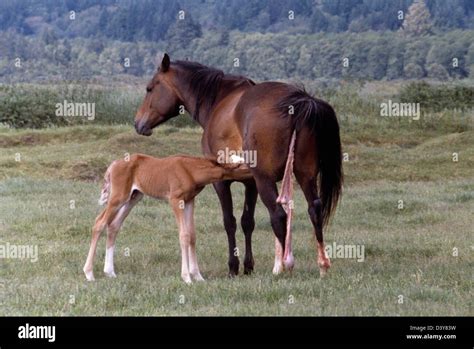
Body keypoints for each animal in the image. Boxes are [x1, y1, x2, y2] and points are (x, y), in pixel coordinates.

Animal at [83, 153, 250, 282]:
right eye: (242, 165)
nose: (253, 172)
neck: (191, 171)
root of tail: (113, 165)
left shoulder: (190, 201)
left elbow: (192, 235)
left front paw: (198, 276)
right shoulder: (175, 200)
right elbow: (184, 235)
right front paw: (187, 277)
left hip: (133, 197)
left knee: (113, 225)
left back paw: (110, 272)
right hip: (118, 197)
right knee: (99, 223)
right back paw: (89, 273)